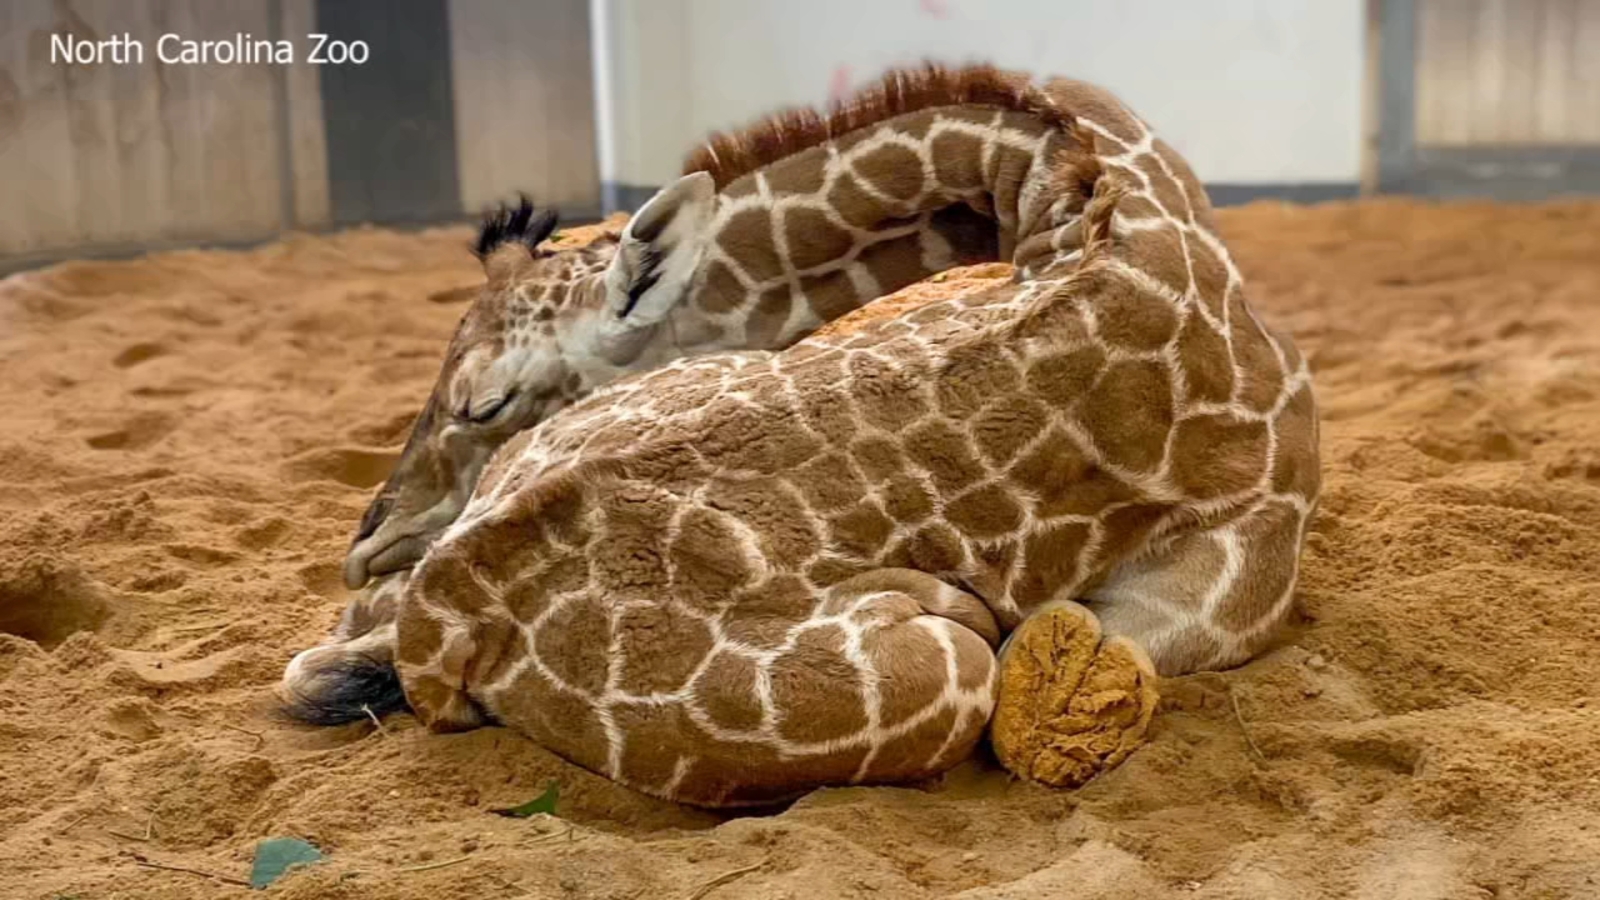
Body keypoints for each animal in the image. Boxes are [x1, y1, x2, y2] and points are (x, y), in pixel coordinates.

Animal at [287, 63, 1320, 806]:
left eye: (481, 401)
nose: (365, 540)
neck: (1078, 198)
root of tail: (452, 609)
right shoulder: (1236, 571)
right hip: (941, 673)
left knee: (324, 657)